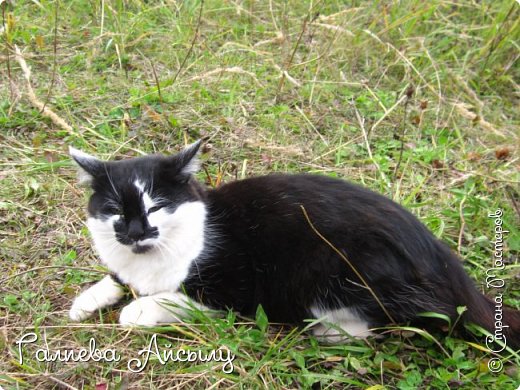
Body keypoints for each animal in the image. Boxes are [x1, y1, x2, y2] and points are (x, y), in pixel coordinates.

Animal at [70, 140, 520, 348]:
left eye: (157, 206)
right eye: (115, 210)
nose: (134, 233)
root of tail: (447, 264)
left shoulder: (232, 288)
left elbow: (165, 299)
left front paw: (136, 309)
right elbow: (116, 277)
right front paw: (86, 301)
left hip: (338, 270)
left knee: (387, 322)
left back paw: (329, 330)